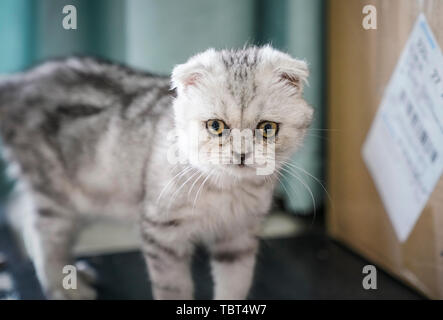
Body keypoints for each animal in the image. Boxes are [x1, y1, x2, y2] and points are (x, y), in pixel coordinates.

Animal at [0, 45, 314, 300]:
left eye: (267, 128)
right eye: (215, 126)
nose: (241, 155)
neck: (227, 189)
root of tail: (18, 82)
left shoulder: (239, 237)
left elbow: (234, 285)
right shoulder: (163, 233)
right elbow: (174, 288)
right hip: (55, 193)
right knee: (40, 236)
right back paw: (64, 288)